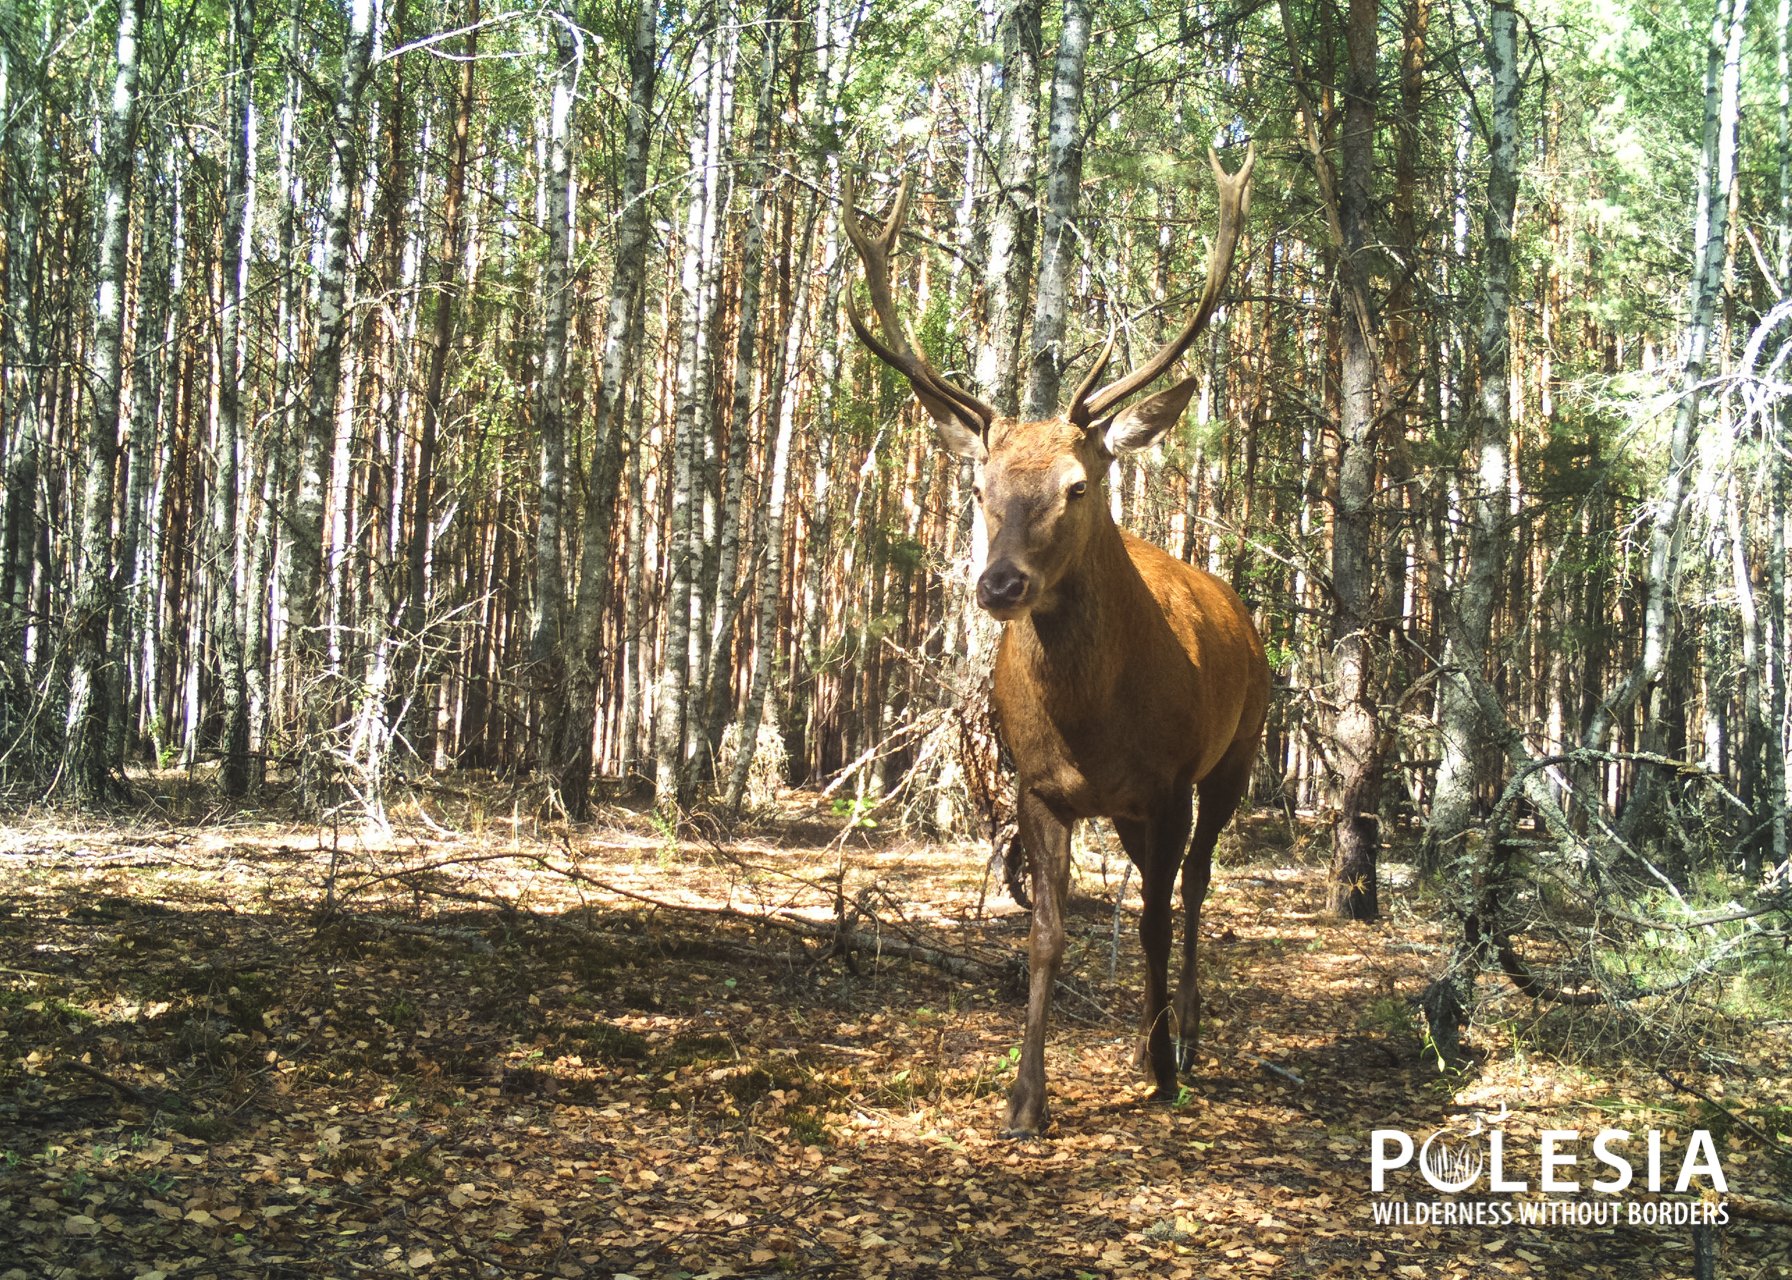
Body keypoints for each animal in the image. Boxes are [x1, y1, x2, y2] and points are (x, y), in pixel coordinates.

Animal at [842, 149, 1275, 1140]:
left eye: (1078, 484)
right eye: (977, 484)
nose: (999, 585)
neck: (1094, 723)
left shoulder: (1169, 782)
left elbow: (1153, 918)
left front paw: (1162, 1065)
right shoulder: (1036, 784)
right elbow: (1046, 933)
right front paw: (1025, 1099)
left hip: (1238, 753)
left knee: (1194, 890)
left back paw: (1187, 1034)